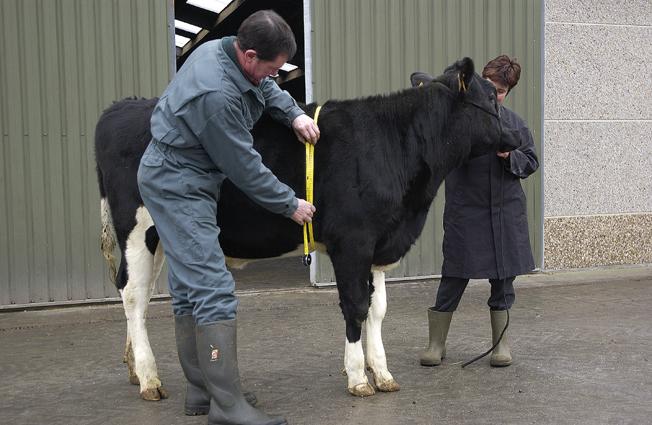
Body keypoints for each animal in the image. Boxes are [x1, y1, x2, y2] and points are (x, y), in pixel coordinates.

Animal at [95, 58, 516, 400]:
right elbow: (356, 306)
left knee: (140, 295)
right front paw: (358, 377)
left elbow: (378, 310)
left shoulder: (380, 242)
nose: (516, 138)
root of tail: (123, 105)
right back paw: (149, 379)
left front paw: (382, 373)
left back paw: (134, 369)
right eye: (492, 99)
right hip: (137, 229)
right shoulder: (352, 241)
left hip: (162, 237)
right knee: (133, 297)